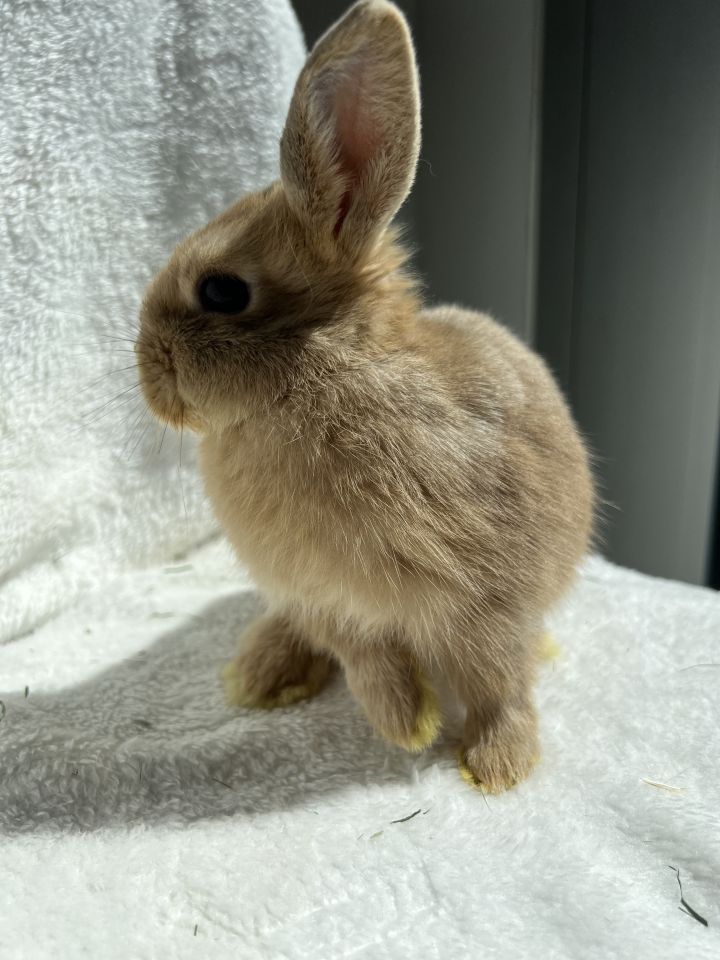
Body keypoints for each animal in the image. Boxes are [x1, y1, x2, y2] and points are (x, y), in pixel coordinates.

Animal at [138, 0, 592, 796]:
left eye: (221, 291)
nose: (146, 375)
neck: (319, 374)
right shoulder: (326, 599)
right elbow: (364, 655)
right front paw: (406, 723)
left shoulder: (487, 604)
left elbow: (497, 682)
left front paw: (495, 768)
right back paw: (257, 675)